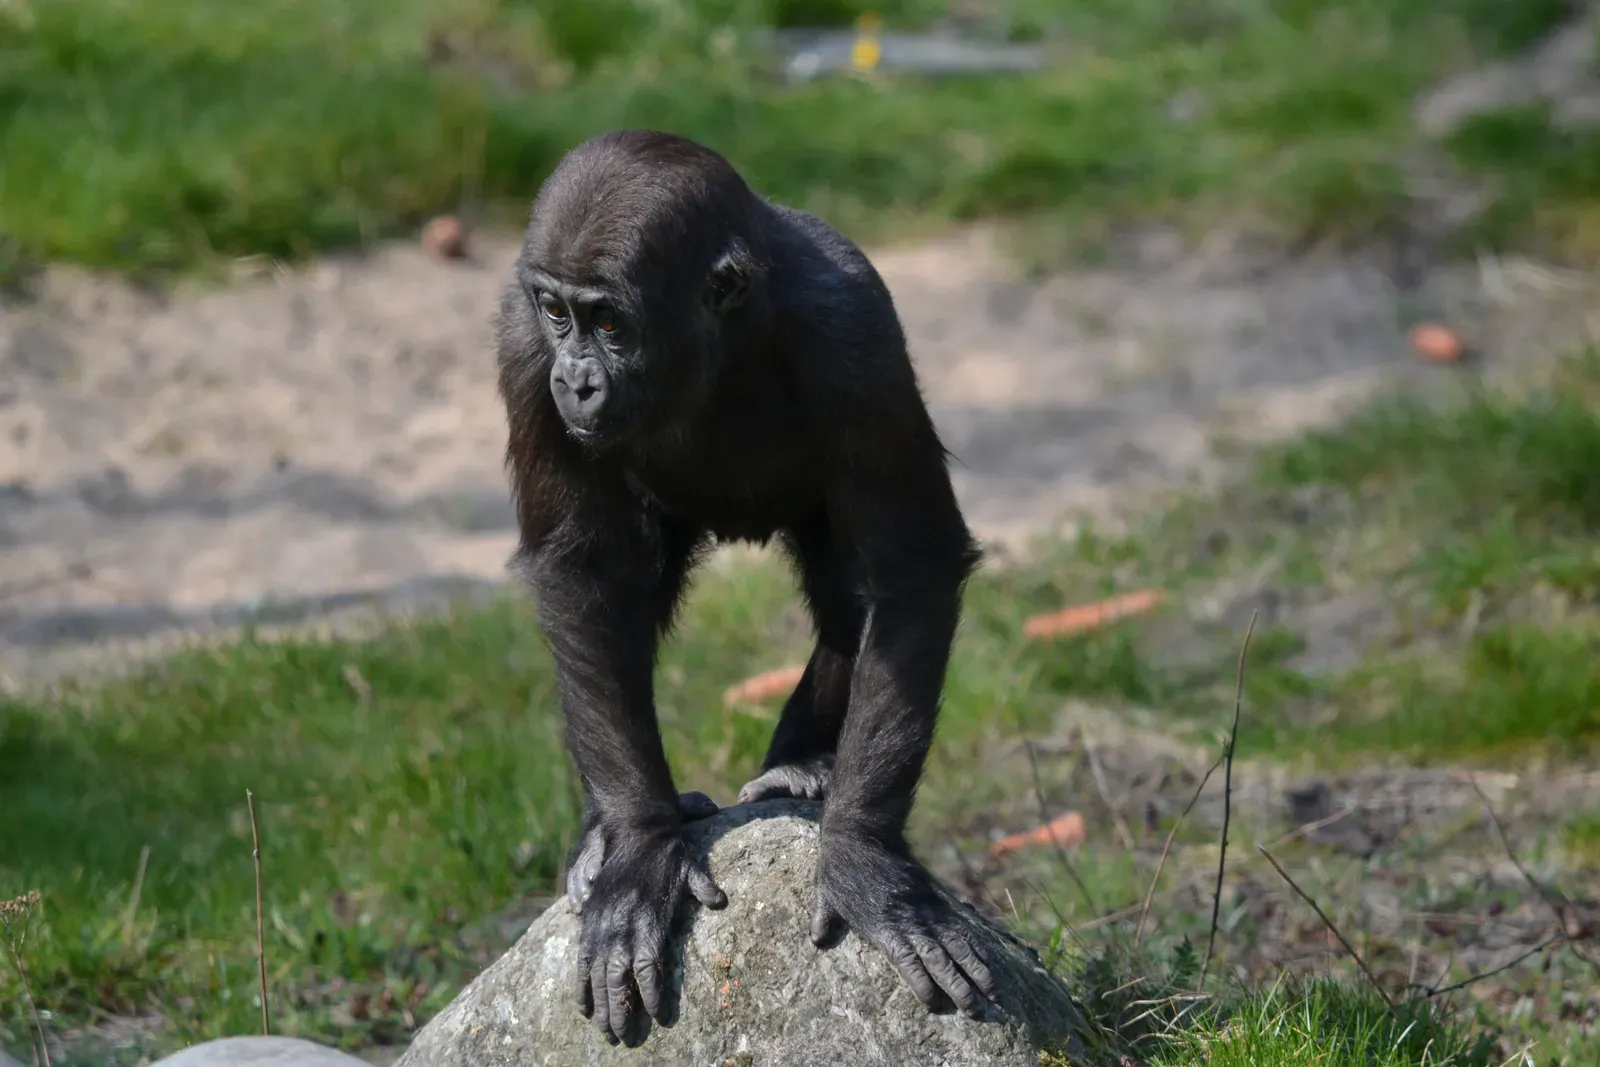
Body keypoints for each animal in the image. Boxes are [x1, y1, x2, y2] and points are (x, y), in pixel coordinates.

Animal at [494, 129, 996, 1047]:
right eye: (556, 314)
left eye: (609, 322)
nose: (575, 379)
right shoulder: (521, 348)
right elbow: (583, 577)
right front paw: (636, 846)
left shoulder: (856, 336)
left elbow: (910, 567)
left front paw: (865, 857)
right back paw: (605, 833)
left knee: (849, 598)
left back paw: (803, 767)